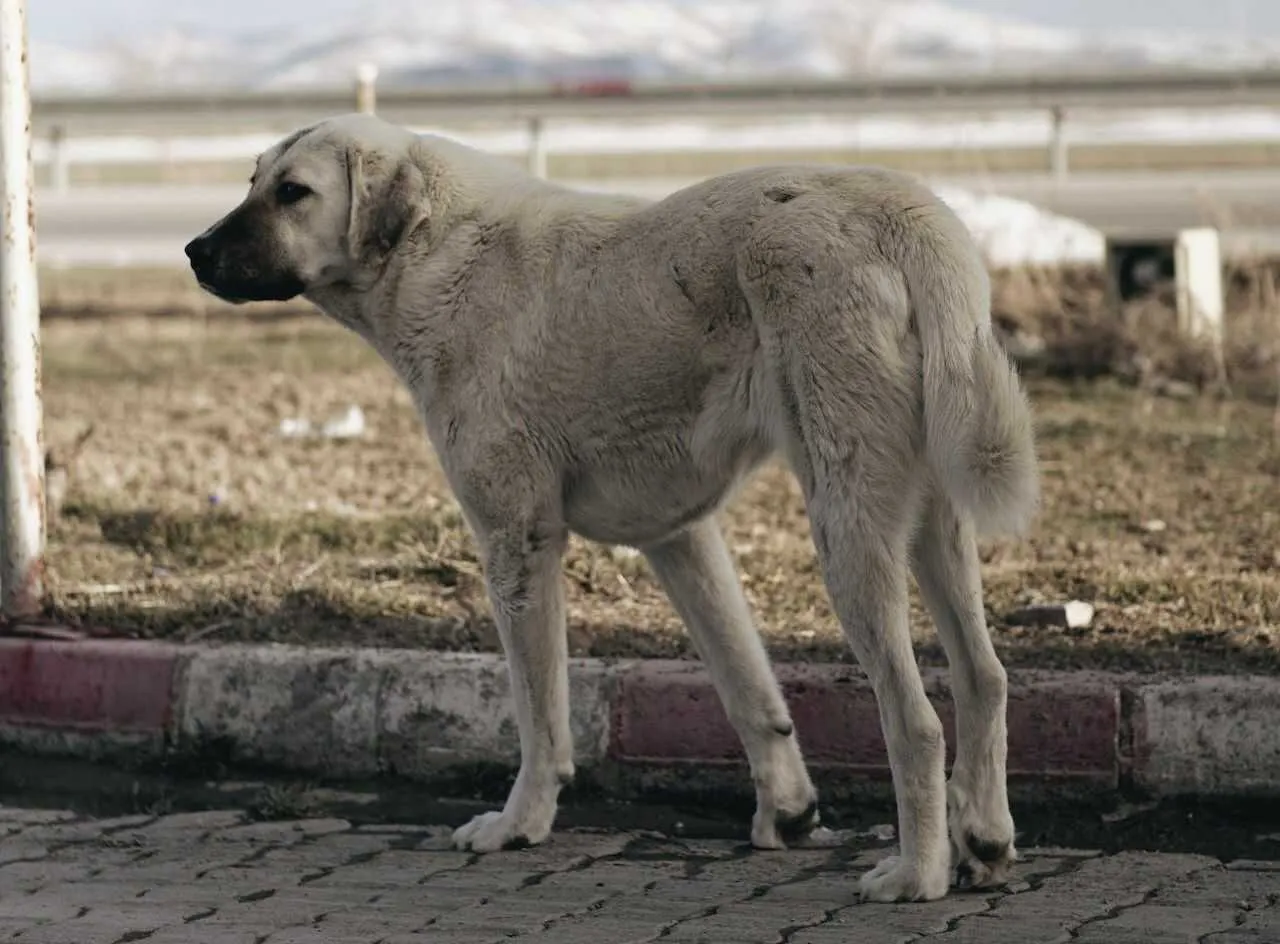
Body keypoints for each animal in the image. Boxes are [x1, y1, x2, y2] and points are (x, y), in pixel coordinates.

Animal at [183, 110, 1039, 895]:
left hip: (847, 525)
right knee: (985, 676)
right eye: (253, 180)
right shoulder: (681, 538)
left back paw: (918, 874)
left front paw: (519, 823)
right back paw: (985, 837)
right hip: (931, 520)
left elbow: (538, 712)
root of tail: (905, 214)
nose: (193, 251)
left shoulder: (516, 539)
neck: (434, 249)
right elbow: (747, 687)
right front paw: (788, 812)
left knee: (916, 720)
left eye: (294, 193)